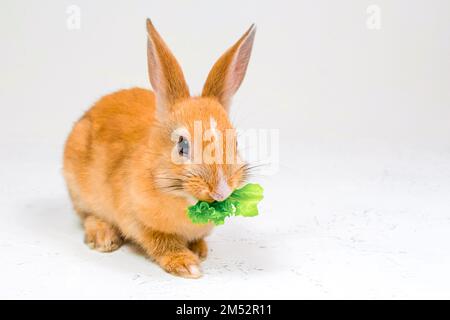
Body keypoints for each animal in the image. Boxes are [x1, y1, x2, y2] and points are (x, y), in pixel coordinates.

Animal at [61, 19, 255, 278]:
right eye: (182, 145)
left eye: (235, 142)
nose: (221, 191)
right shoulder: (138, 221)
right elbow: (161, 242)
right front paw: (188, 265)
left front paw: (200, 250)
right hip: (79, 190)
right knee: (87, 215)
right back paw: (103, 238)